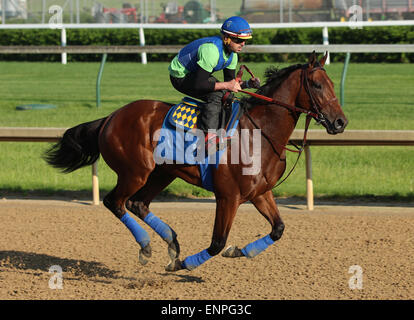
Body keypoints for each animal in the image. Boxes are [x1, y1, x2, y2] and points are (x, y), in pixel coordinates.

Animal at [44, 51, 350, 272]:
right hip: (135, 172)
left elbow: (278, 230)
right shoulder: (228, 196)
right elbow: (217, 243)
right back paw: (147, 247)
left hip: (162, 173)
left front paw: (239, 251)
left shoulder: (260, 193)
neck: (261, 133)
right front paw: (185, 264)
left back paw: (171, 243)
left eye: (332, 84)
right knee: (115, 202)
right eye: (317, 85)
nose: (340, 122)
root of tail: (110, 117)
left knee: (137, 204)